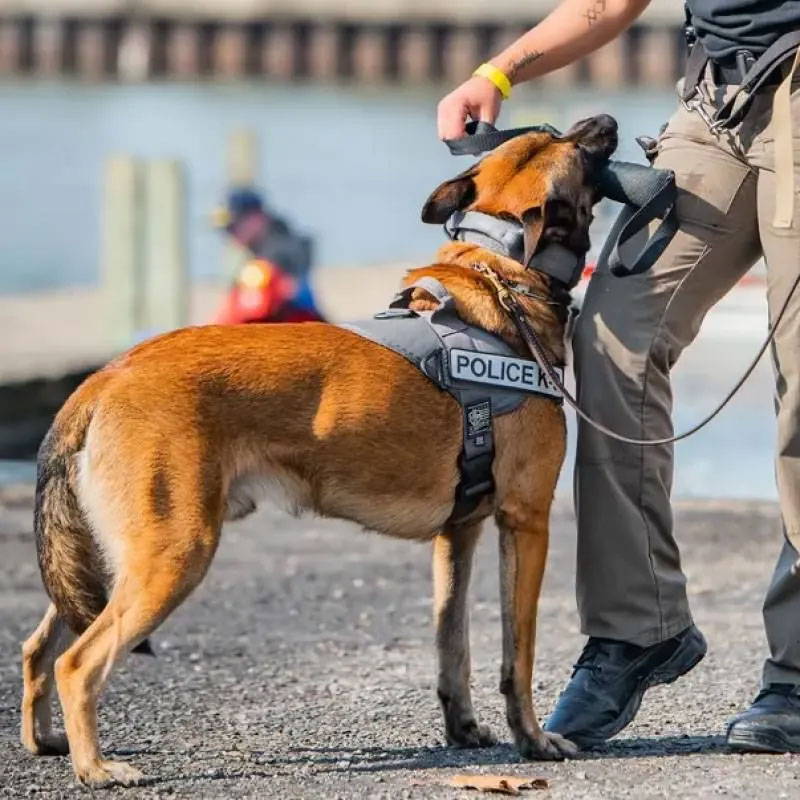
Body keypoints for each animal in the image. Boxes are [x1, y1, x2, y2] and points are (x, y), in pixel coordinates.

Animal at [20, 115, 620, 784]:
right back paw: (96, 766)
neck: (500, 280)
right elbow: (518, 654)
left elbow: (452, 645)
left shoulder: (457, 534)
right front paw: (534, 740)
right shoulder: (526, 523)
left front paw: (463, 729)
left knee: (39, 647)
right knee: (77, 662)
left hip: (110, 558)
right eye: (572, 144)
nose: (607, 122)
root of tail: (107, 375)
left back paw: (44, 741)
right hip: (172, 555)